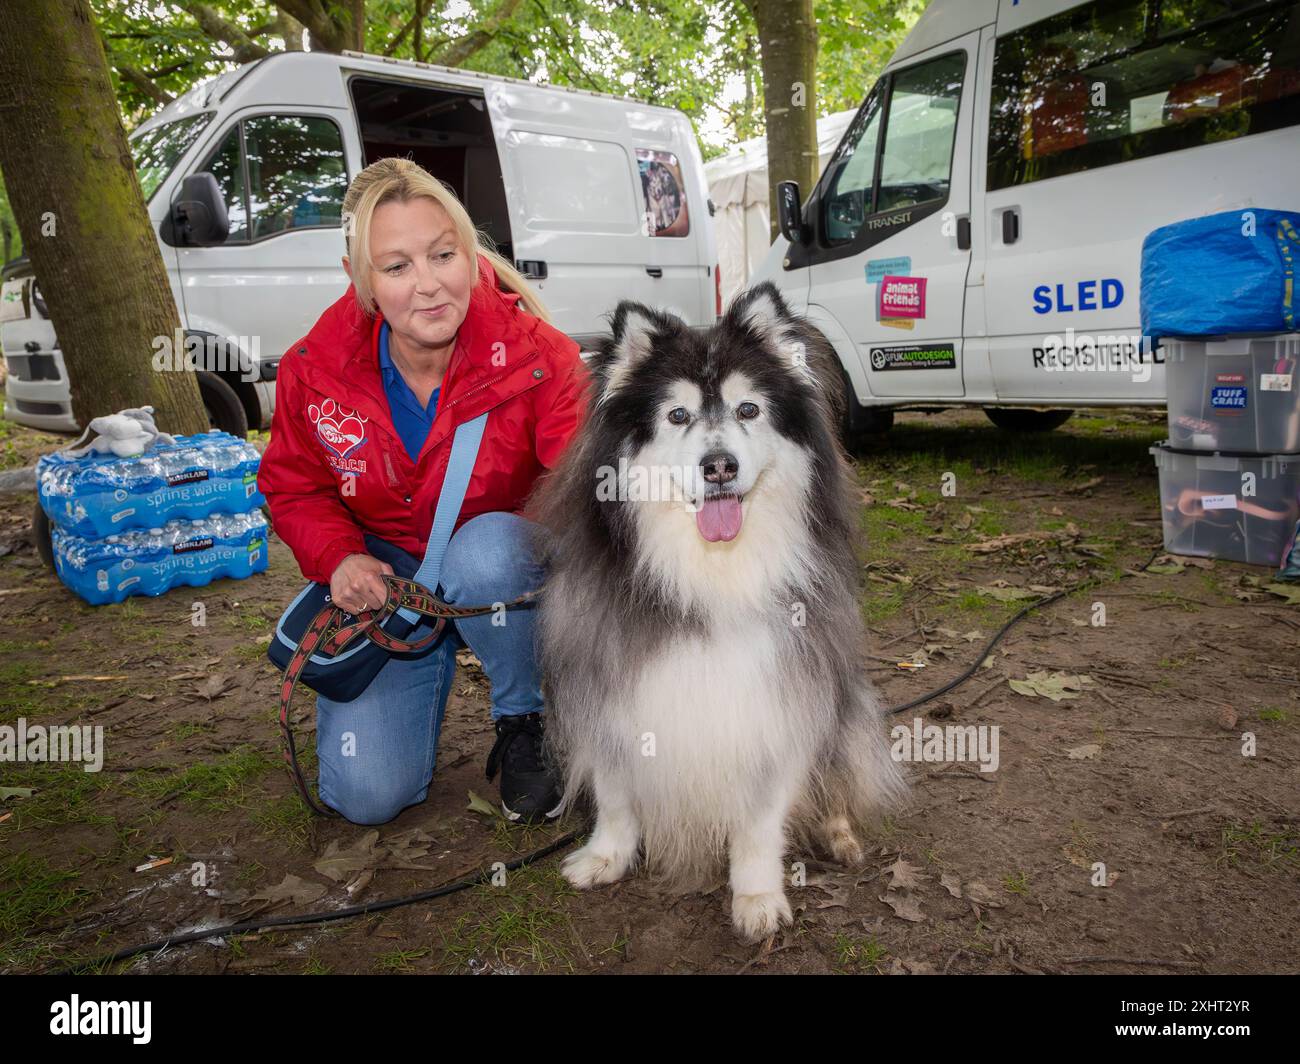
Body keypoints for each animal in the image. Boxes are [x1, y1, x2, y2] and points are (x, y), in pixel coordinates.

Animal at [527, 282, 904, 936]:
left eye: (748, 409)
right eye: (676, 416)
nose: (719, 465)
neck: (712, 573)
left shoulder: (780, 701)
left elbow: (759, 820)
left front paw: (755, 895)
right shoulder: (610, 687)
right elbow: (616, 792)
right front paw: (606, 856)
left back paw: (838, 831)